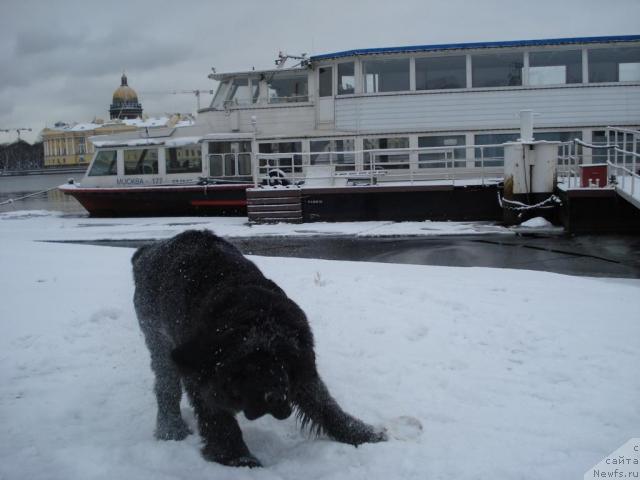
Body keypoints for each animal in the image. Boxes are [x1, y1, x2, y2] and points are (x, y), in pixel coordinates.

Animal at [131, 231, 384, 466]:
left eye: (285, 362)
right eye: (247, 365)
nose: (275, 398)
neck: (257, 315)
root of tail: (148, 249)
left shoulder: (301, 365)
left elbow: (324, 404)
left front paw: (362, 433)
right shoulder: (200, 370)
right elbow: (218, 419)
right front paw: (238, 458)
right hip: (158, 339)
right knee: (166, 386)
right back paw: (170, 428)